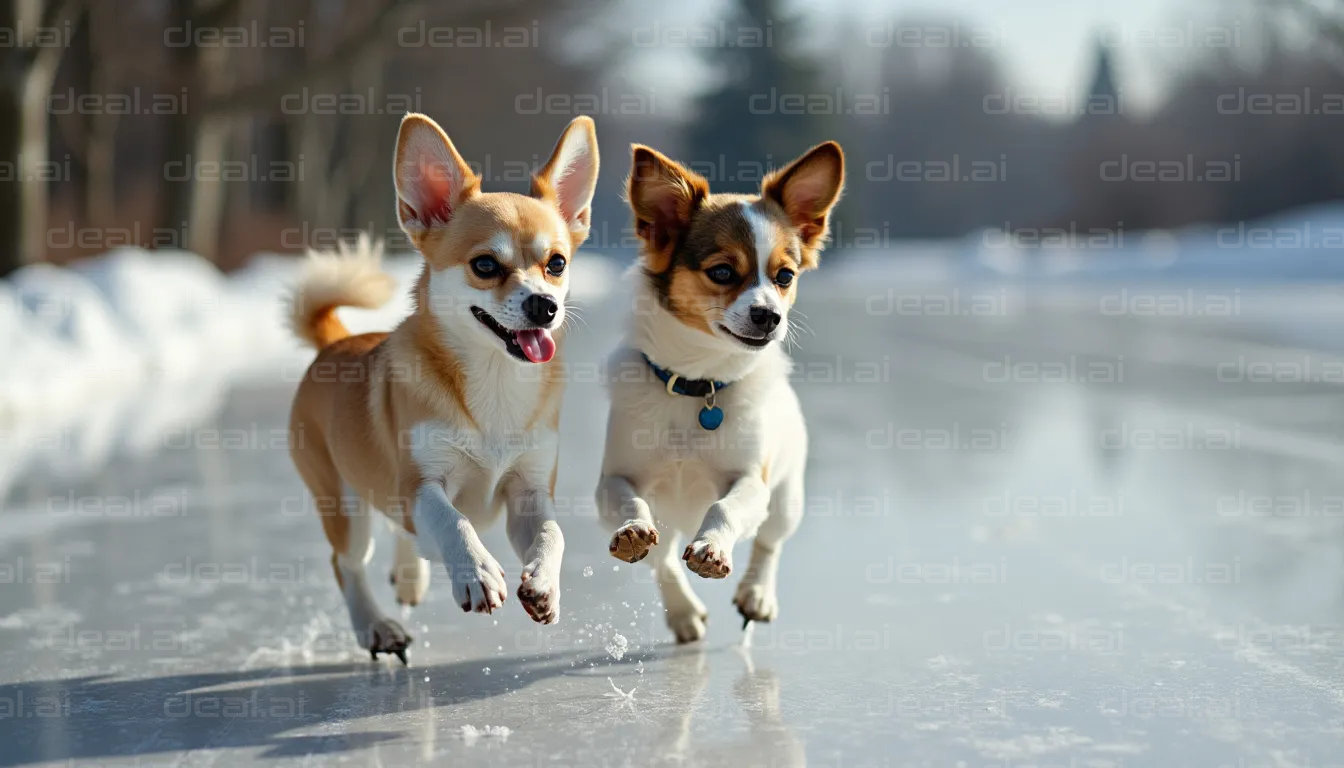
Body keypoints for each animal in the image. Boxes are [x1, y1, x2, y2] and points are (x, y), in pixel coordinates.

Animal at [286, 112, 596, 661]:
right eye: (485, 265)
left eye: (556, 264)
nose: (544, 305)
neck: (496, 379)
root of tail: (335, 340)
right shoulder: (421, 486)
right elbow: (451, 519)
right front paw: (476, 572)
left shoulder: (528, 491)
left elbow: (552, 532)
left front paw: (543, 582)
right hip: (343, 503)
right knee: (346, 563)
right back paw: (376, 627)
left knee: (400, 536)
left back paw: (409, 577)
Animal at [596, 139, 838, 642]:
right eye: (723, 273)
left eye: (785, 277)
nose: (770, 315)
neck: (697, 383)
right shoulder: (614, 479)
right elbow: (630, 504)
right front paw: (632, 530)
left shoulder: (750, 482)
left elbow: (725, 510)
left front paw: (712, 547)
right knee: (663, 558)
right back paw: (683, 611)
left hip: (786, 501)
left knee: (768, 543)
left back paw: (757, 594)